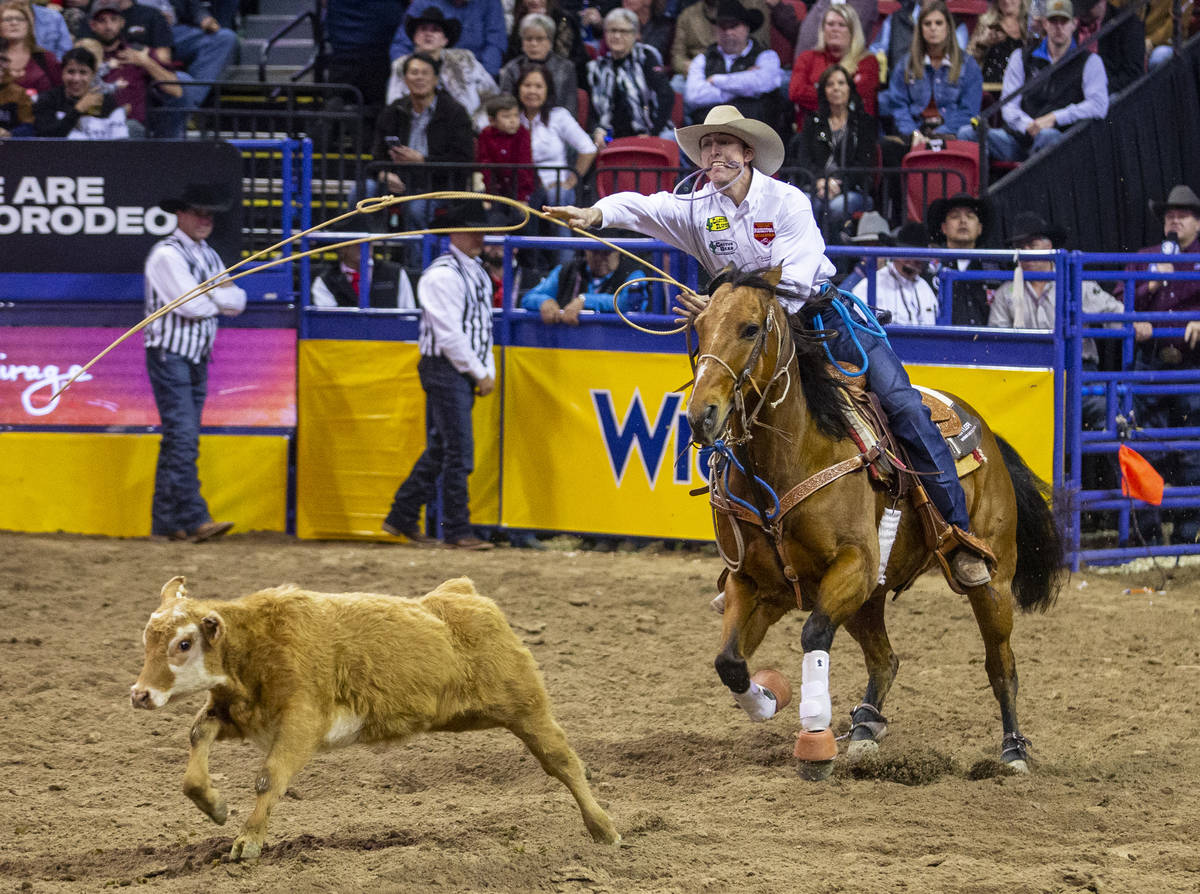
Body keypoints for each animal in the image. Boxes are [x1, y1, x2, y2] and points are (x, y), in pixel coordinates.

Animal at [131, 571, 619, 859]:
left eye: (183, 643)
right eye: (146, 639)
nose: (140, 695)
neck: (256, 646)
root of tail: (459, 594)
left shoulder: (302, 723)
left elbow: (270, 777)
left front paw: (248, 841)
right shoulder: (236, 713)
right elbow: (197, 741)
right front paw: (215, 807)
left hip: (526, 706)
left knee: (563, 761)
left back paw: (604, 829)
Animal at [686, 266, 1070, 772]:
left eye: (750, 328)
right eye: (699, 327)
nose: (701, 415)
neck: (792, 455)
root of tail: (985, 431)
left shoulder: (854, 565)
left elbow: (813, 634)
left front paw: (814, 740)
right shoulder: (755, 583)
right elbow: (729, 662)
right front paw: (769, 698)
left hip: (994, 583)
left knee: (1001, 665)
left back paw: (1012, 751)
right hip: (868, 599)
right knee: (885, 660)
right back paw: (867, 725)